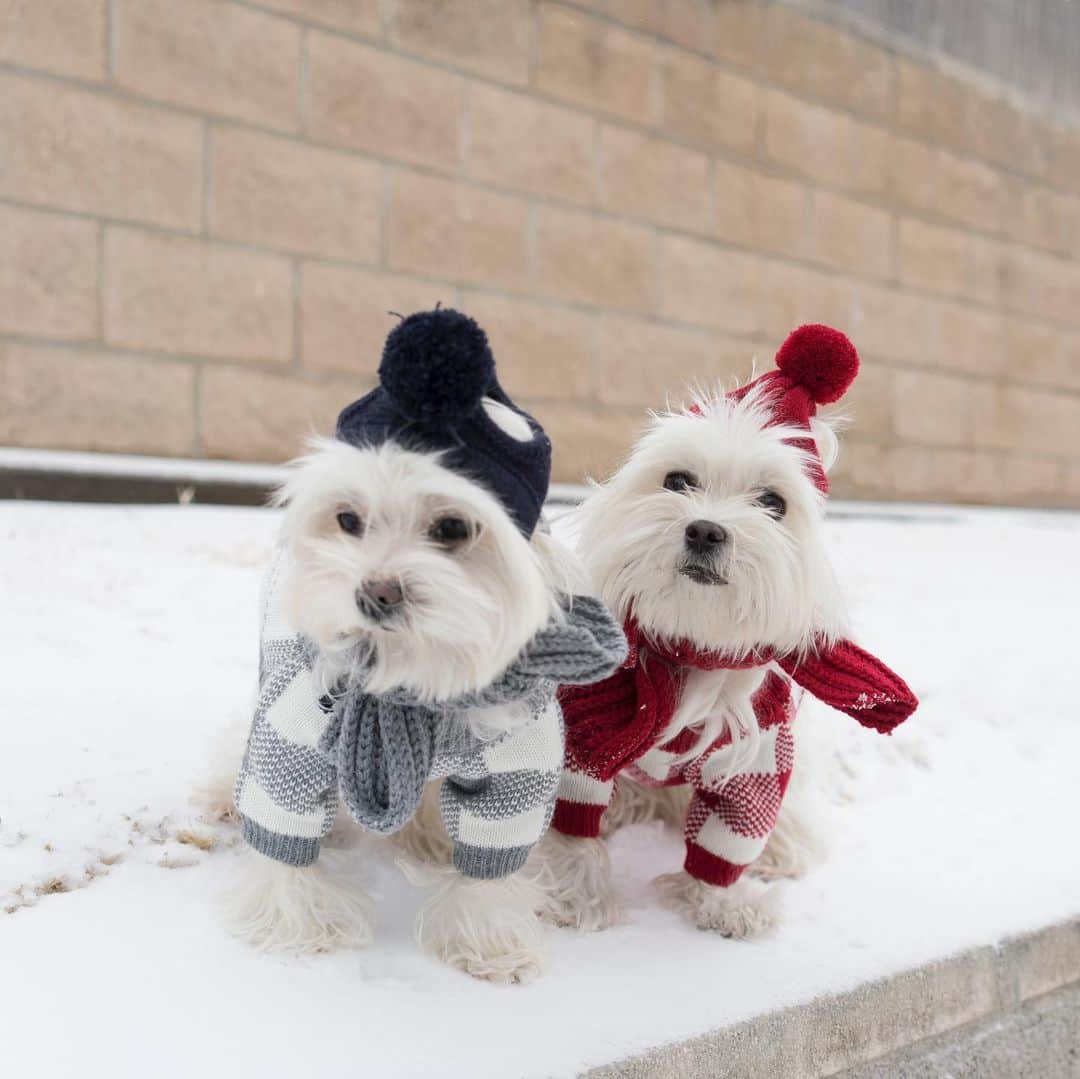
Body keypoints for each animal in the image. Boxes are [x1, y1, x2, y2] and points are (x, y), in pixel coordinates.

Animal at [535, 319, 915, 937]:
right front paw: (574, 895)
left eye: (773, 502)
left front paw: (721, 902)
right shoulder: (588, 731)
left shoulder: (756, 757)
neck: (692, 645)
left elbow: (728, 838)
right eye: (677, 480)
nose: (706, 531)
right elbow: (572, 822)